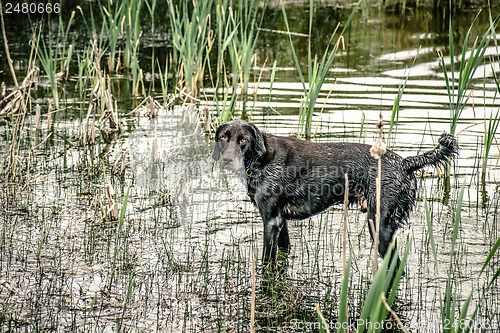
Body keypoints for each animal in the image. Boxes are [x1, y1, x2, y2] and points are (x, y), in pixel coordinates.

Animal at [211, 120, 458, 268]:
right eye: (224, 137)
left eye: (243, 140)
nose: (227, 160)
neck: (261, 160)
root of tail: (405, 162)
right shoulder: (280, 222)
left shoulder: (271, 221)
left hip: (380, 226)